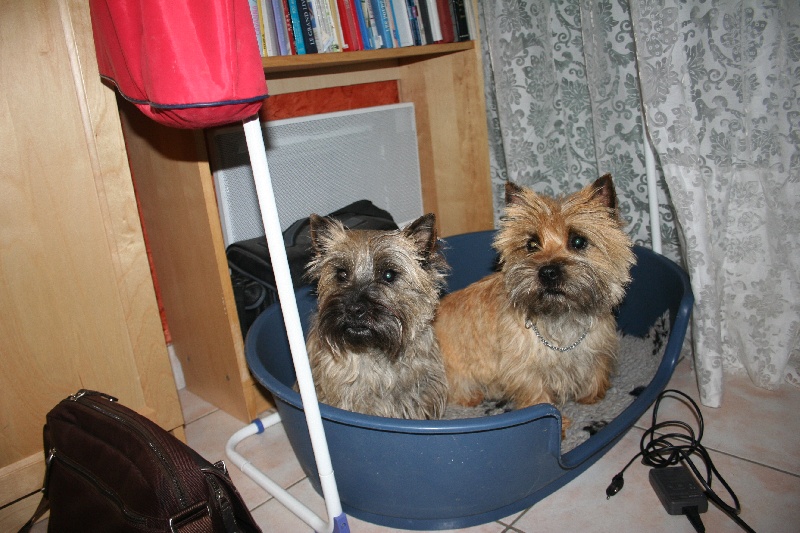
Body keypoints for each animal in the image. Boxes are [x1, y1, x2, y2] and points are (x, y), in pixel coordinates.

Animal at [434, 175, 636, 428]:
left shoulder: (595, 348)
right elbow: (539, 399)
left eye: (578, 241)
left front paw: (592, 395)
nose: (547, 272)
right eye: (531, 244)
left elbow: (595, 369)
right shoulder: (526, 370)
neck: (560, 319)